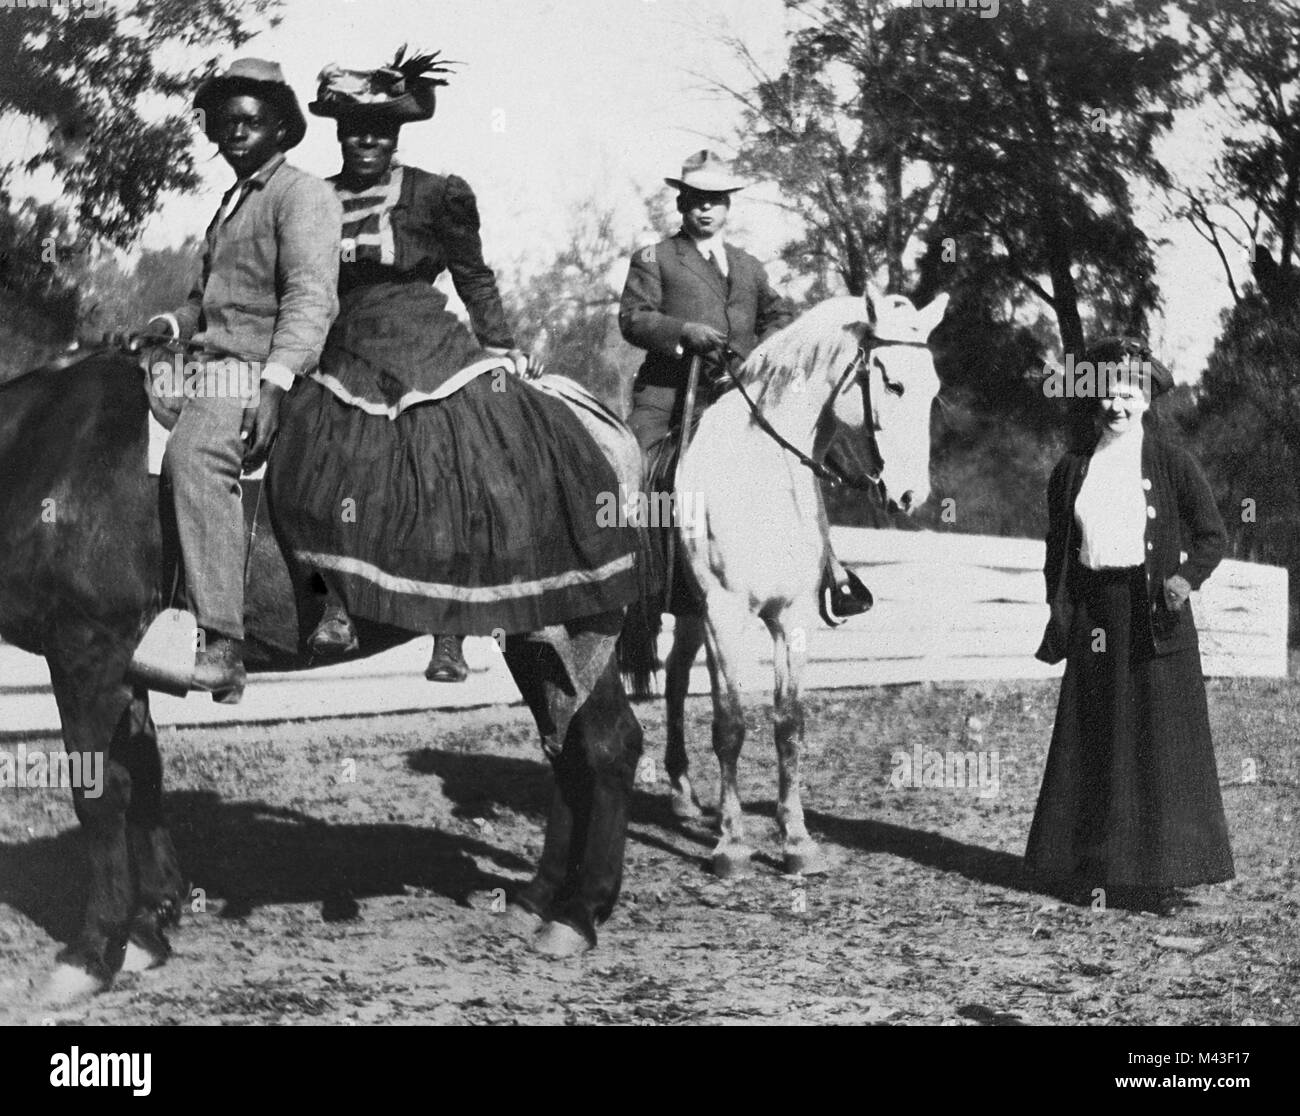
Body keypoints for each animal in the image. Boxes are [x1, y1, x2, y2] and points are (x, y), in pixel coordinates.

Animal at [0, 348, 647, 998]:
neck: (50, 445)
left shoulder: (86, 651)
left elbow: (98, 794)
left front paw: (89, 953)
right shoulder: (126, 667)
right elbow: (143, 779)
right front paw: (145, 931)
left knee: (608, 745)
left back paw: (578, 913)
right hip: (535, 642)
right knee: (564, 748)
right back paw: (540, 898)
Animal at [637, 288, 951, 879]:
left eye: (933, 390)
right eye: (894, 385)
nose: (909, 495)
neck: (762, 475)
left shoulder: (792, 617)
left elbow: (789, 725)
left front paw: (798, 841)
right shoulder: (725, 614)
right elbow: (731, 724)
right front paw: (732, 846)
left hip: (690, 614)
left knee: (674, 679)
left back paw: (684, 796)